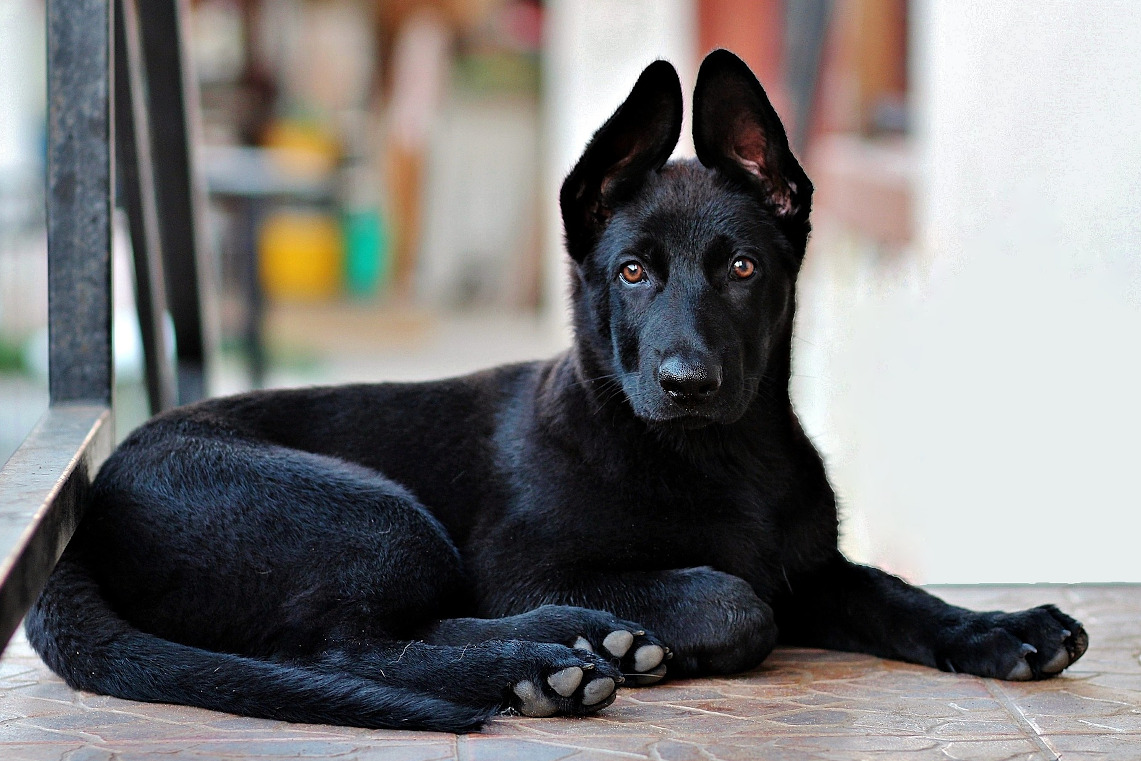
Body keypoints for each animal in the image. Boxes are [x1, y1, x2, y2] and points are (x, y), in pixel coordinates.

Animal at [26, 52, 1086, 730]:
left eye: (743, 268)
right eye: (631, 272)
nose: (686, 381)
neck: (718, 455)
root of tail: (88, 510)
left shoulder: (812, 566)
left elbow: (892, 592)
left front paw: (1000, 629)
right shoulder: (522, 562)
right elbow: (735, 600)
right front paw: (671, 632)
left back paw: (581, 647)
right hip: (380, 515)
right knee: (336, 647)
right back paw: (545, 665)